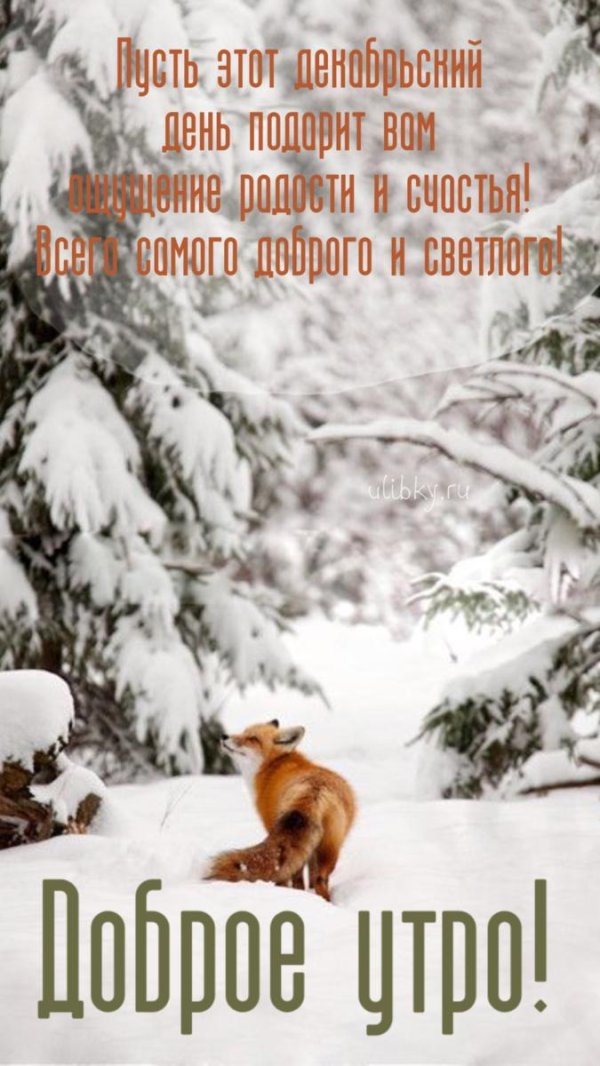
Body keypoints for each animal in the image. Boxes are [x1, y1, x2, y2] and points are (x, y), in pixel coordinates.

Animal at [205, 719, 356, 902]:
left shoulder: (270, 825)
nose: (223, 736)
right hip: (330, 849)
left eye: (253, 738)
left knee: (298, 875)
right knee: (320, 879)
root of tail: (313, 792)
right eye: (243, 732)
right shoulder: (313, 851)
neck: (272, 766)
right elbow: (311, 875)